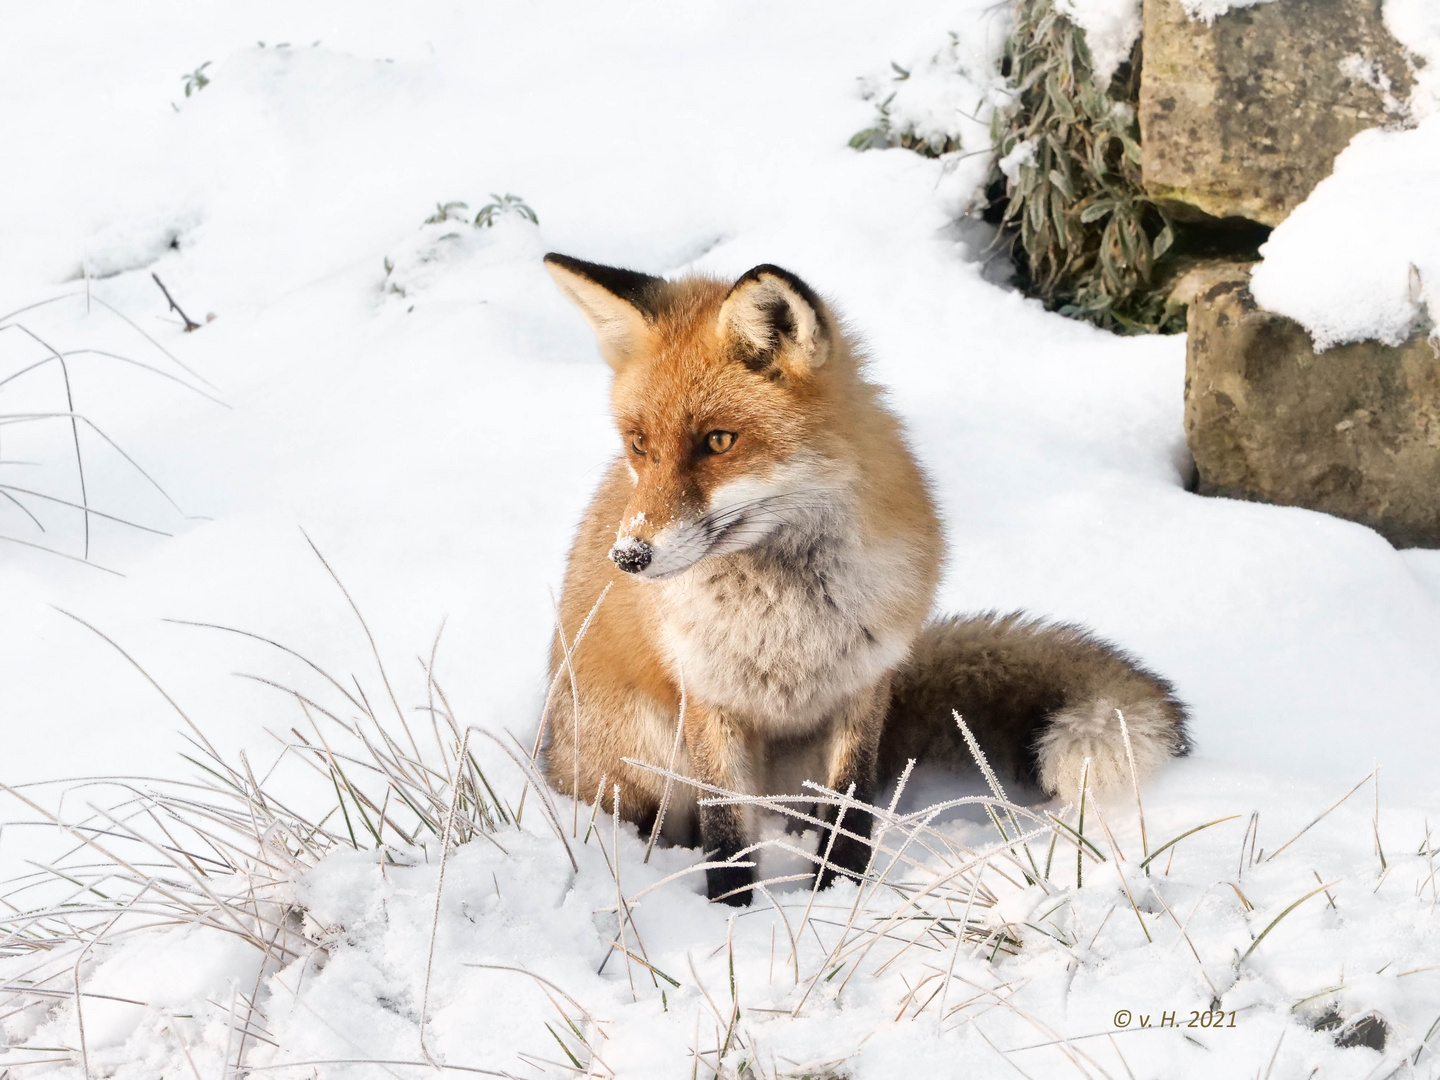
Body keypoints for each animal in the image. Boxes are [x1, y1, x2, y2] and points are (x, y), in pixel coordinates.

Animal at [541, 253, 1192, 904]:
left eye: (718, 441)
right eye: (639, 444)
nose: (628, 557)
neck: (783, 616)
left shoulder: (864, 685)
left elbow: (850, 809)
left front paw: (836, 894)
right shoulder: (707, 695)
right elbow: (726, 831)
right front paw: (731, 911)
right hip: (642, 757)